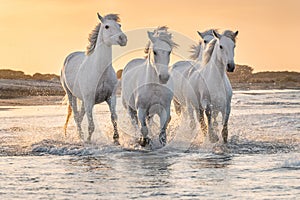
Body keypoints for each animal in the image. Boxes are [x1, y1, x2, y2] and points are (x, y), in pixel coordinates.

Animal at [60, 13, 127, 142]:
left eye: (120, 25)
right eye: (107, 26)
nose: (123, 39)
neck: (101, 71)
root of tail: (70, 57)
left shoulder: (111, 98)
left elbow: (113, 118)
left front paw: (116, 138)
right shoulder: (89, 100)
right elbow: (91, 125)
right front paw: (88, 140)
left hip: (83, 100)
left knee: (80, 117)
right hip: (71, 95)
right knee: (76, 116)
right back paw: (81, 137)